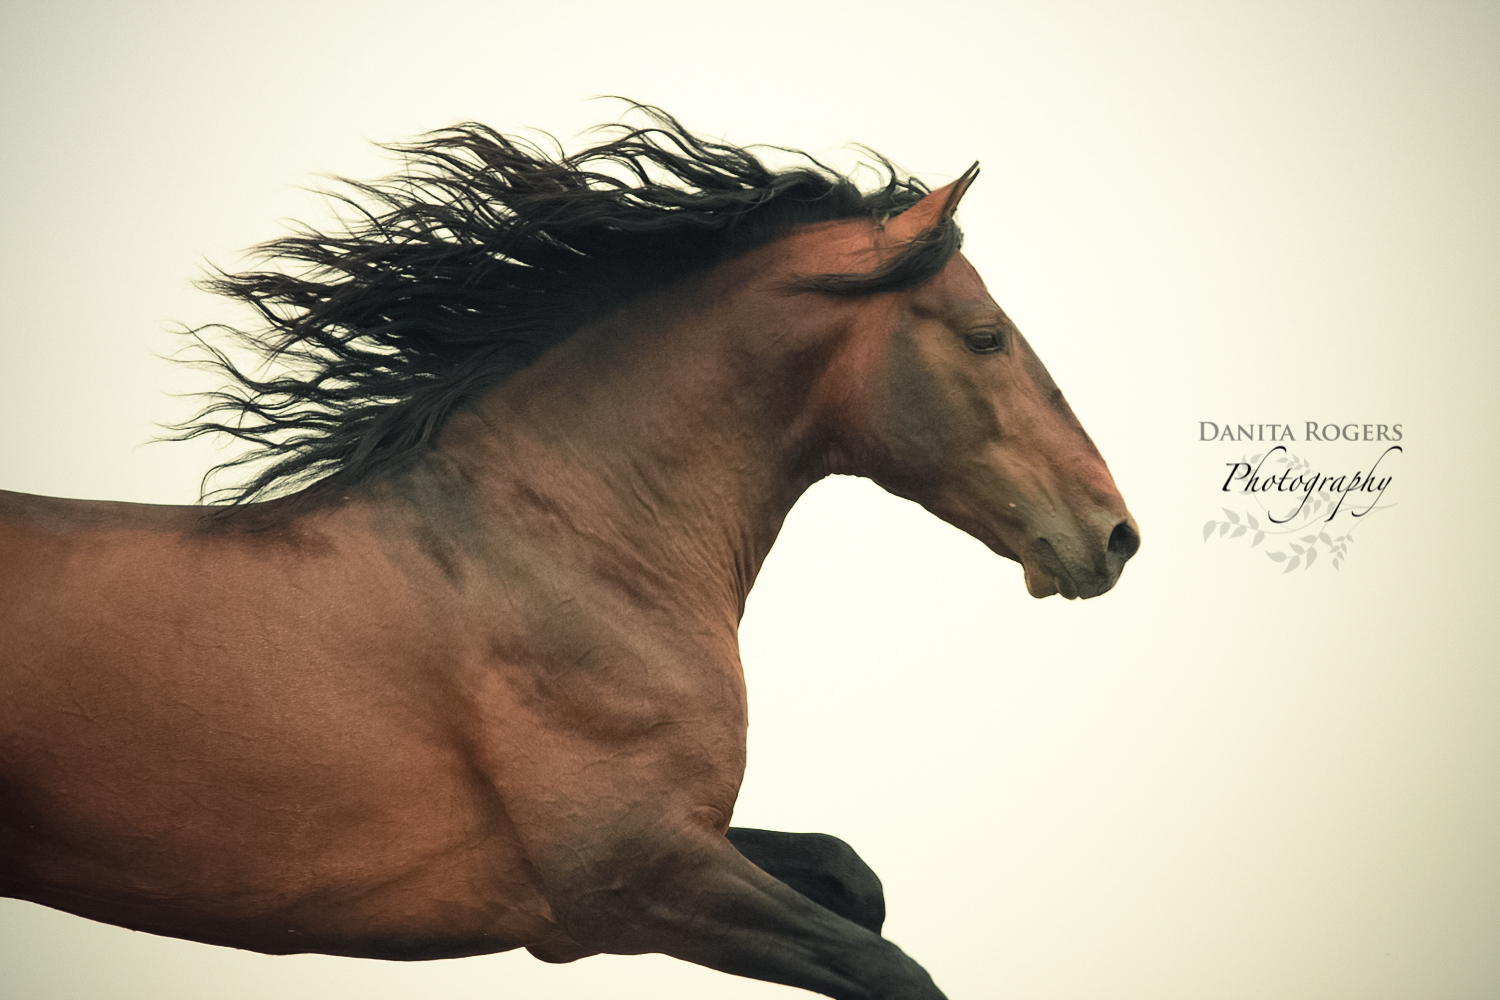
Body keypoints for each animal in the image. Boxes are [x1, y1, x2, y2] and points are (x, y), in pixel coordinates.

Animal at [0, 106, 1138, 999]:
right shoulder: (631, 879)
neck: (573, 550)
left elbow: (853, 876)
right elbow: (889, 965)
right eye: (986, 335)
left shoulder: (679, 843)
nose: (1116, 534)